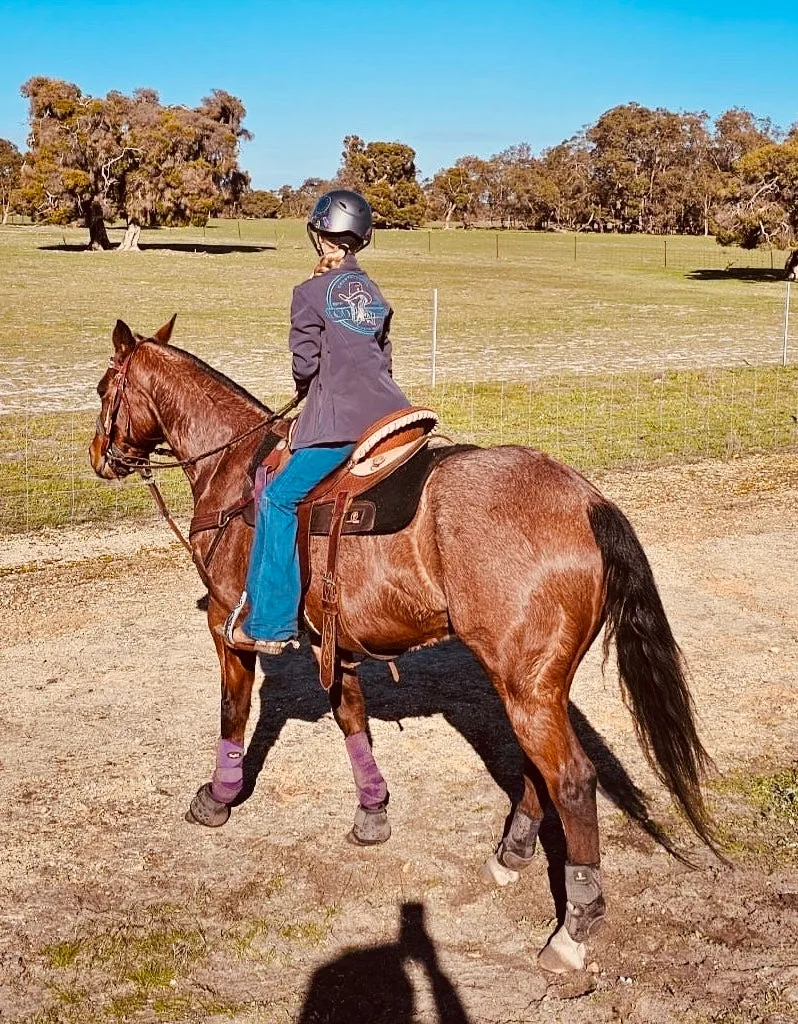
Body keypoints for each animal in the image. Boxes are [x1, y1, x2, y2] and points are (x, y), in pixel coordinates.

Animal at [90, 315, 721, 970]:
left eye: (104, 387)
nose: (98, 458)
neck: (233, 468)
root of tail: (587, 499)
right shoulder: (334, 642)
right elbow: (351, 717)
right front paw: (373, 812)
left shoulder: (225, 625)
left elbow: (232, 711)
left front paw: (217, 798)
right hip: (534, 682)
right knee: (537, 766)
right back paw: (512, 852)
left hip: (526, 686)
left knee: (571, 780)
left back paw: (574, 927)